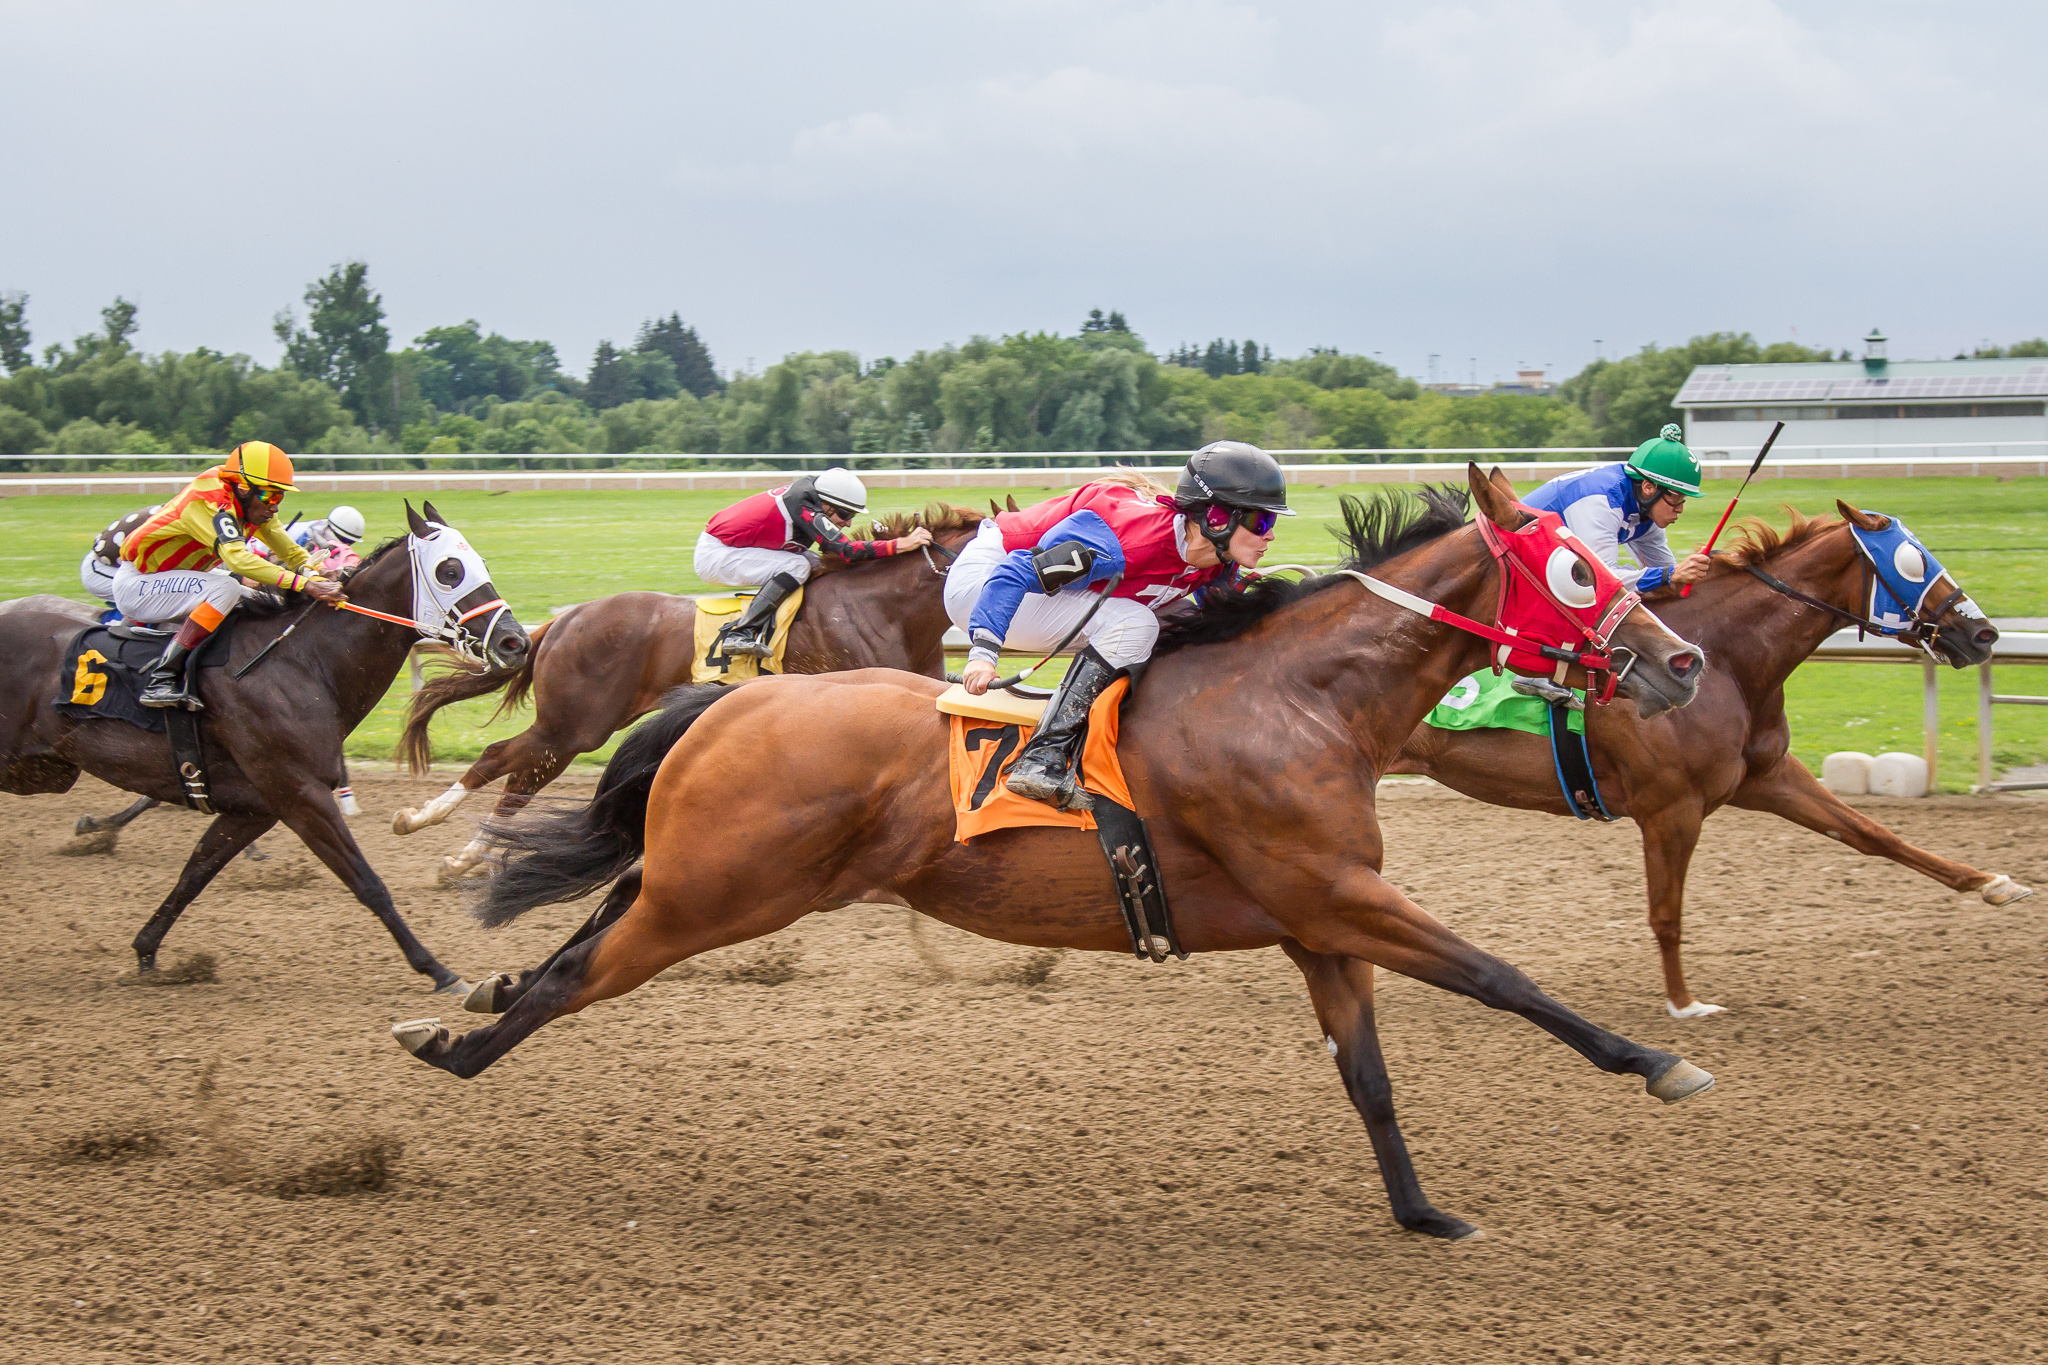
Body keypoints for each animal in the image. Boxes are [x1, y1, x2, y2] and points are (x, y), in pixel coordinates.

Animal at [0, 501, 529, 991]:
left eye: (478, 561)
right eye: (449, 571)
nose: (515, 642)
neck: (300, 663)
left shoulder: (254, 807)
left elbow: (194, 873)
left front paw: (148, 954)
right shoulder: (300, 795)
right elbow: (368, 883)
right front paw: (439, 971)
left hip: (42, 770)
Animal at [388, 504, 984, 877]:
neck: (885, 607)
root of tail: (561, 621)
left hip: (574, 731)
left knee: (522, 780)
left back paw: (468, 855)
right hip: (575, 724)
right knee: (499, 758)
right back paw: (422, 820)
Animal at [1391, 501, 2021, 1017]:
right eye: (1913, 562)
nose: (1984, 634)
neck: (1724, 660)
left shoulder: (1768, 777)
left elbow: (1870, 832)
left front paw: (1992, 881)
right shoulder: (1672, 809)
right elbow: (1666, 914)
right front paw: (1684, 1003)